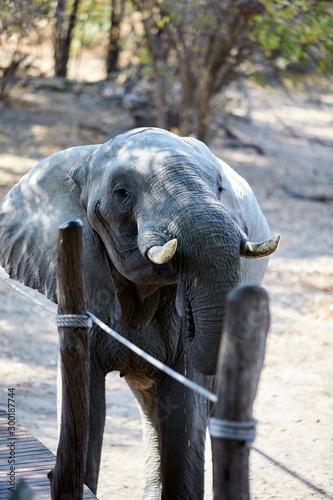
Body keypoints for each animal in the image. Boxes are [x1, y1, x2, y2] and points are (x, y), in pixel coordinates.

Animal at [0, 127, 278, 498]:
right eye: (121, 193)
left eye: (219, 187)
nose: (193, 318)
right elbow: (89, 405)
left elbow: (184, 405)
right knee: (152, 406)